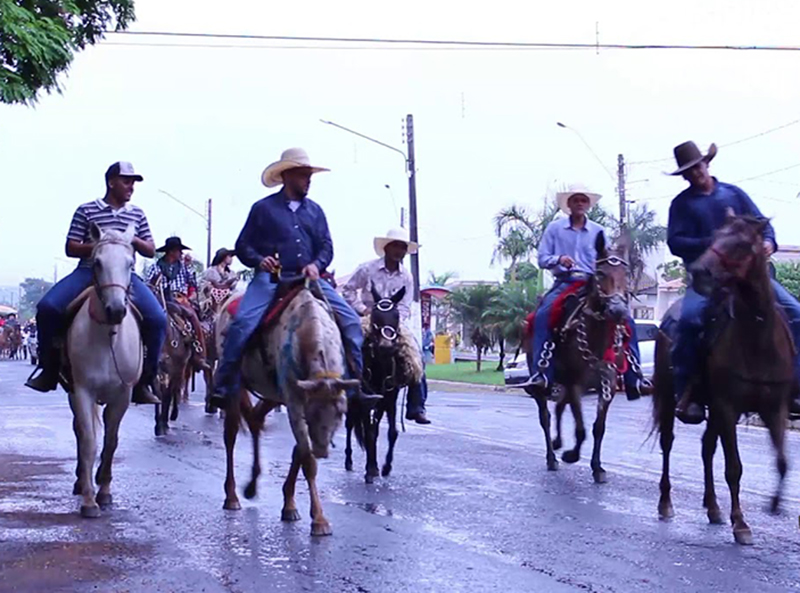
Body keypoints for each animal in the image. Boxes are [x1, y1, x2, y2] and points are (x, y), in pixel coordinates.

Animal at [67, 222, 142, 520]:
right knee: (79, 431)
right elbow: (89, 441)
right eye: (97, 262)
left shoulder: (123, 394)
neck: (107, 337)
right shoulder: (82, 391)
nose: (116, 310)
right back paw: (80, 481)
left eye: (130, 263)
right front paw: (89, 500)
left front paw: (105, 489)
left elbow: (111, 441)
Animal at [217, 278, 358, 536]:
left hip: (272, 394)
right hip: (234, 383)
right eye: (311, 413)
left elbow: (299, 452)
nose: (323, 450)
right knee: (230, 434)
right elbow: (307, 458)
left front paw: (290, 505)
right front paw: (319, 519)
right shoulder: (294, 403)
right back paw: (232, 496)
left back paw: (252, 484)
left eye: (341, 411)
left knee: (255, 420)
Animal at [340, 284, 422, 484]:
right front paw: (370, 470)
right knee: (350, 425)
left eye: (396, 316)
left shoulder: (389, 399)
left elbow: (391, 432)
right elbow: (370, 432)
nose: (386, 346)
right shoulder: (366, 400)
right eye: (375, 316)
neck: (380, 365)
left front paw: (385, 467)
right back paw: (349, 461)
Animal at [532, 231, 632, 480]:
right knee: (545, 417)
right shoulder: (574, 383)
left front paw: (597, 467)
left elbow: (598, 427)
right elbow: (580, 428)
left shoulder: (608, 384)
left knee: (559, 407)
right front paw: (571, 455)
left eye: (626, 274)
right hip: (543, 382)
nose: (618, 310)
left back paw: (558, 442)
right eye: (601, 273)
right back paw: (552, 456)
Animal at [648, 210, 792, 544]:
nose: (701, 272)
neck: (757, 338)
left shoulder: (774, 408)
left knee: (706, 448)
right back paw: (666, 504)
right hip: (671, 397)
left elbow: (782, 463)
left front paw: (774, 504)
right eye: (714, 238)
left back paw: (713, 508)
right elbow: (734, 468)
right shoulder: (728, 407)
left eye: (742, 244)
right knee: (668, 442)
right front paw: (740, 524)